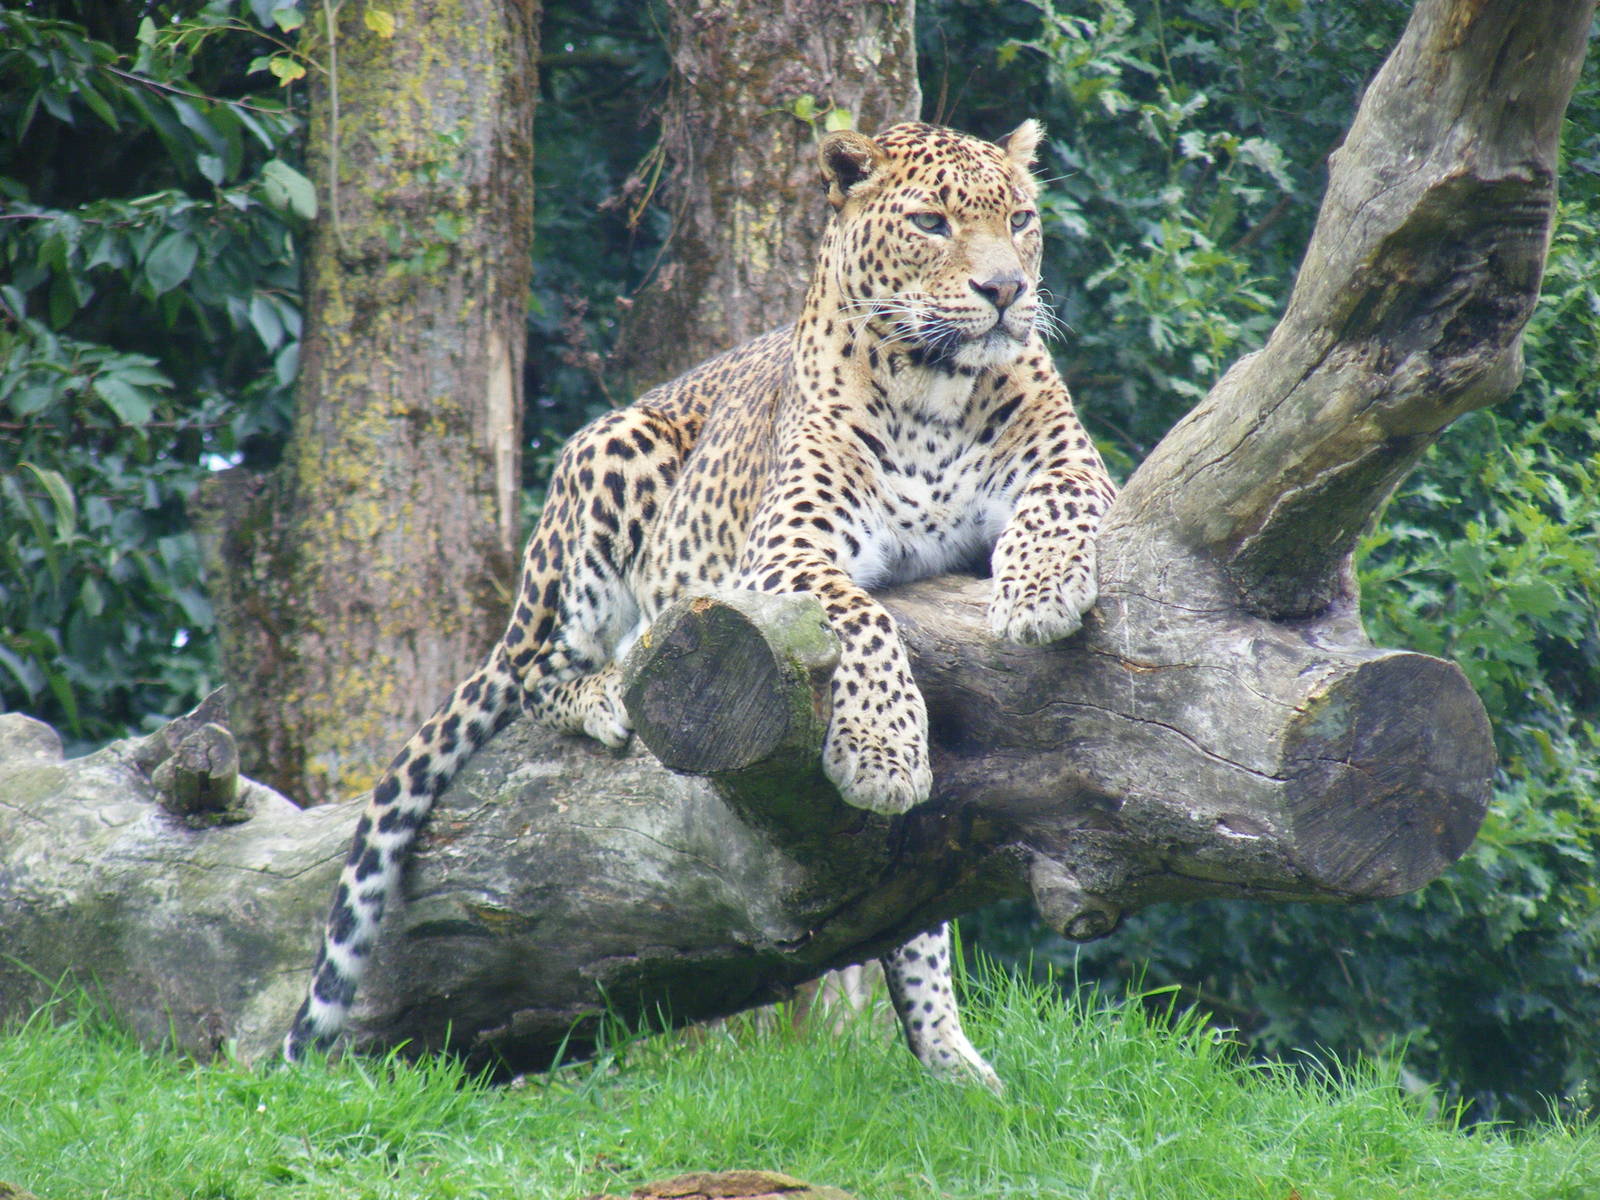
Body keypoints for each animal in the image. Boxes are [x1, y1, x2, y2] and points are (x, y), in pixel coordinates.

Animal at [284, 119, 1116, 1092]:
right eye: (931, 223)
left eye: (1020, 219)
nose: (1005, 291)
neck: (935, 387)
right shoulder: (785, 552)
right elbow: (865, 621)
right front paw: (883, 748)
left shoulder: (1072, 467)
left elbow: (1057, 505)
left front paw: (1039, 594)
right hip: (607, 468)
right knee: (538, 670)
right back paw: (607, 690)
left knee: (910, 904)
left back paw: (950, 1059)